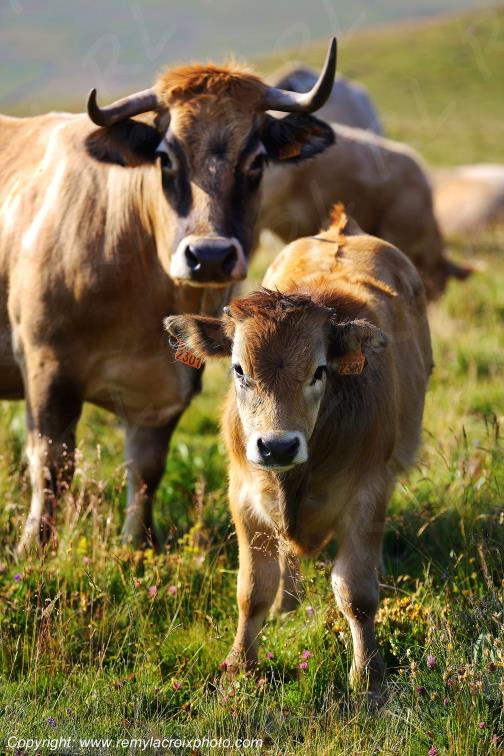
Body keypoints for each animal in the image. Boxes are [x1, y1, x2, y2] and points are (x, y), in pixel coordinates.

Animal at [0, 39, 338, 554]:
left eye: (256, 161)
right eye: (165, 159)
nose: (211, 255)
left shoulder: (168, 387)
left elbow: (146, 469)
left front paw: (137, 545)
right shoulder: (46, 366)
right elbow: (52, 464)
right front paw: (33, 548)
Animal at [164, 205, 432, 699]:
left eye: (319, 371)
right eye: (238, 370)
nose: (277, 444)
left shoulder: (369, 494)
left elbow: (357, 594)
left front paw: (368, 676)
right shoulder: (243, 498)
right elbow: (252, 589)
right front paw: (240, 666)